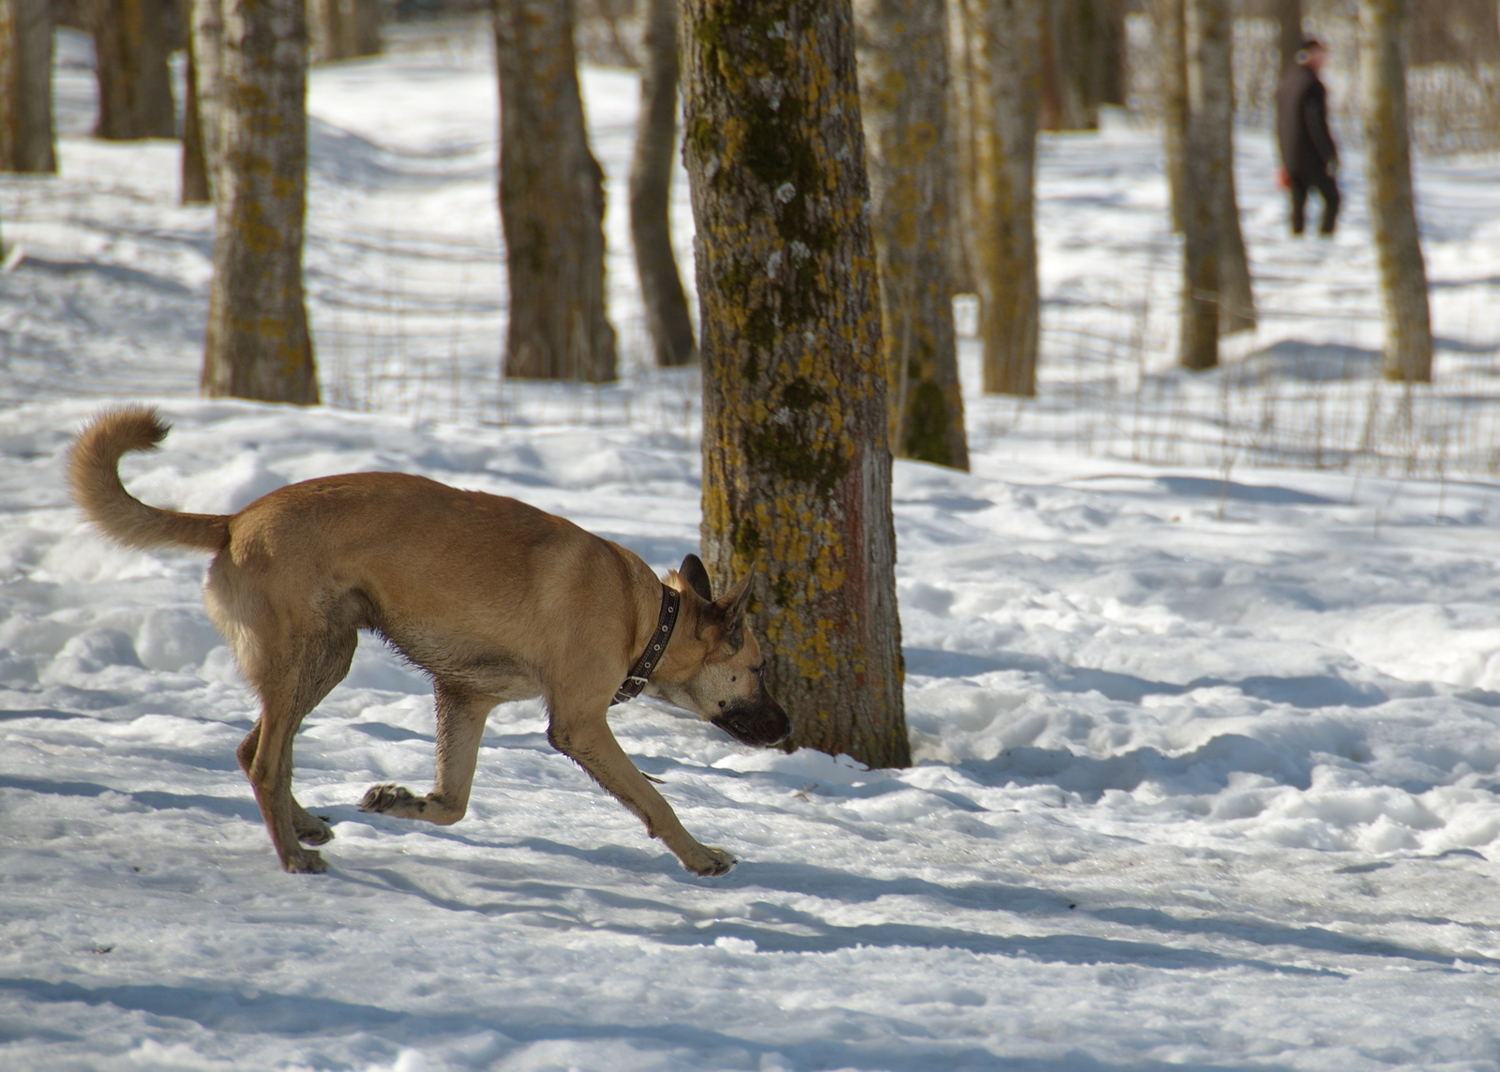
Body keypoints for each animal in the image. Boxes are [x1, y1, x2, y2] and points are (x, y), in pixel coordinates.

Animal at [67, 407, 798, 875]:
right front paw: (701, 856)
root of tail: (236, 519)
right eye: (761, 669)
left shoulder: (465, 700)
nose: (789, 729)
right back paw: (294, 855)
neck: (647, 617)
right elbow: (655, 799)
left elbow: (452, 804)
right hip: (314, 655)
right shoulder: (580, 726)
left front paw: (403, 801)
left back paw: (303, 825)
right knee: (266, 760)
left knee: (256, 749)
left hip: (323, 659)